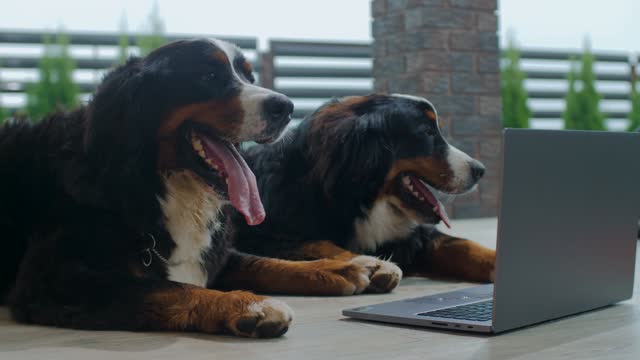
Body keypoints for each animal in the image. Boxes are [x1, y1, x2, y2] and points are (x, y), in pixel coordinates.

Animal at [0, 39, 384, 338]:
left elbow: (262, 261)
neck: (150, 182)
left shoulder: (215, 254)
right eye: (209, 76)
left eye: (248, 76)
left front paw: (342, 268)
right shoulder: (53, 277)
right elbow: (165, 288)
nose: (285, 107)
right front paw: (247, 305)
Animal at [234, 93, 496, 292]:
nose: (480, 170)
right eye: (427, 132)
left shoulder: (416, 237)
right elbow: (317, 244)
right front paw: (373, 265)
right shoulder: (263, 235)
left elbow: (464, 246)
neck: (363, 200)